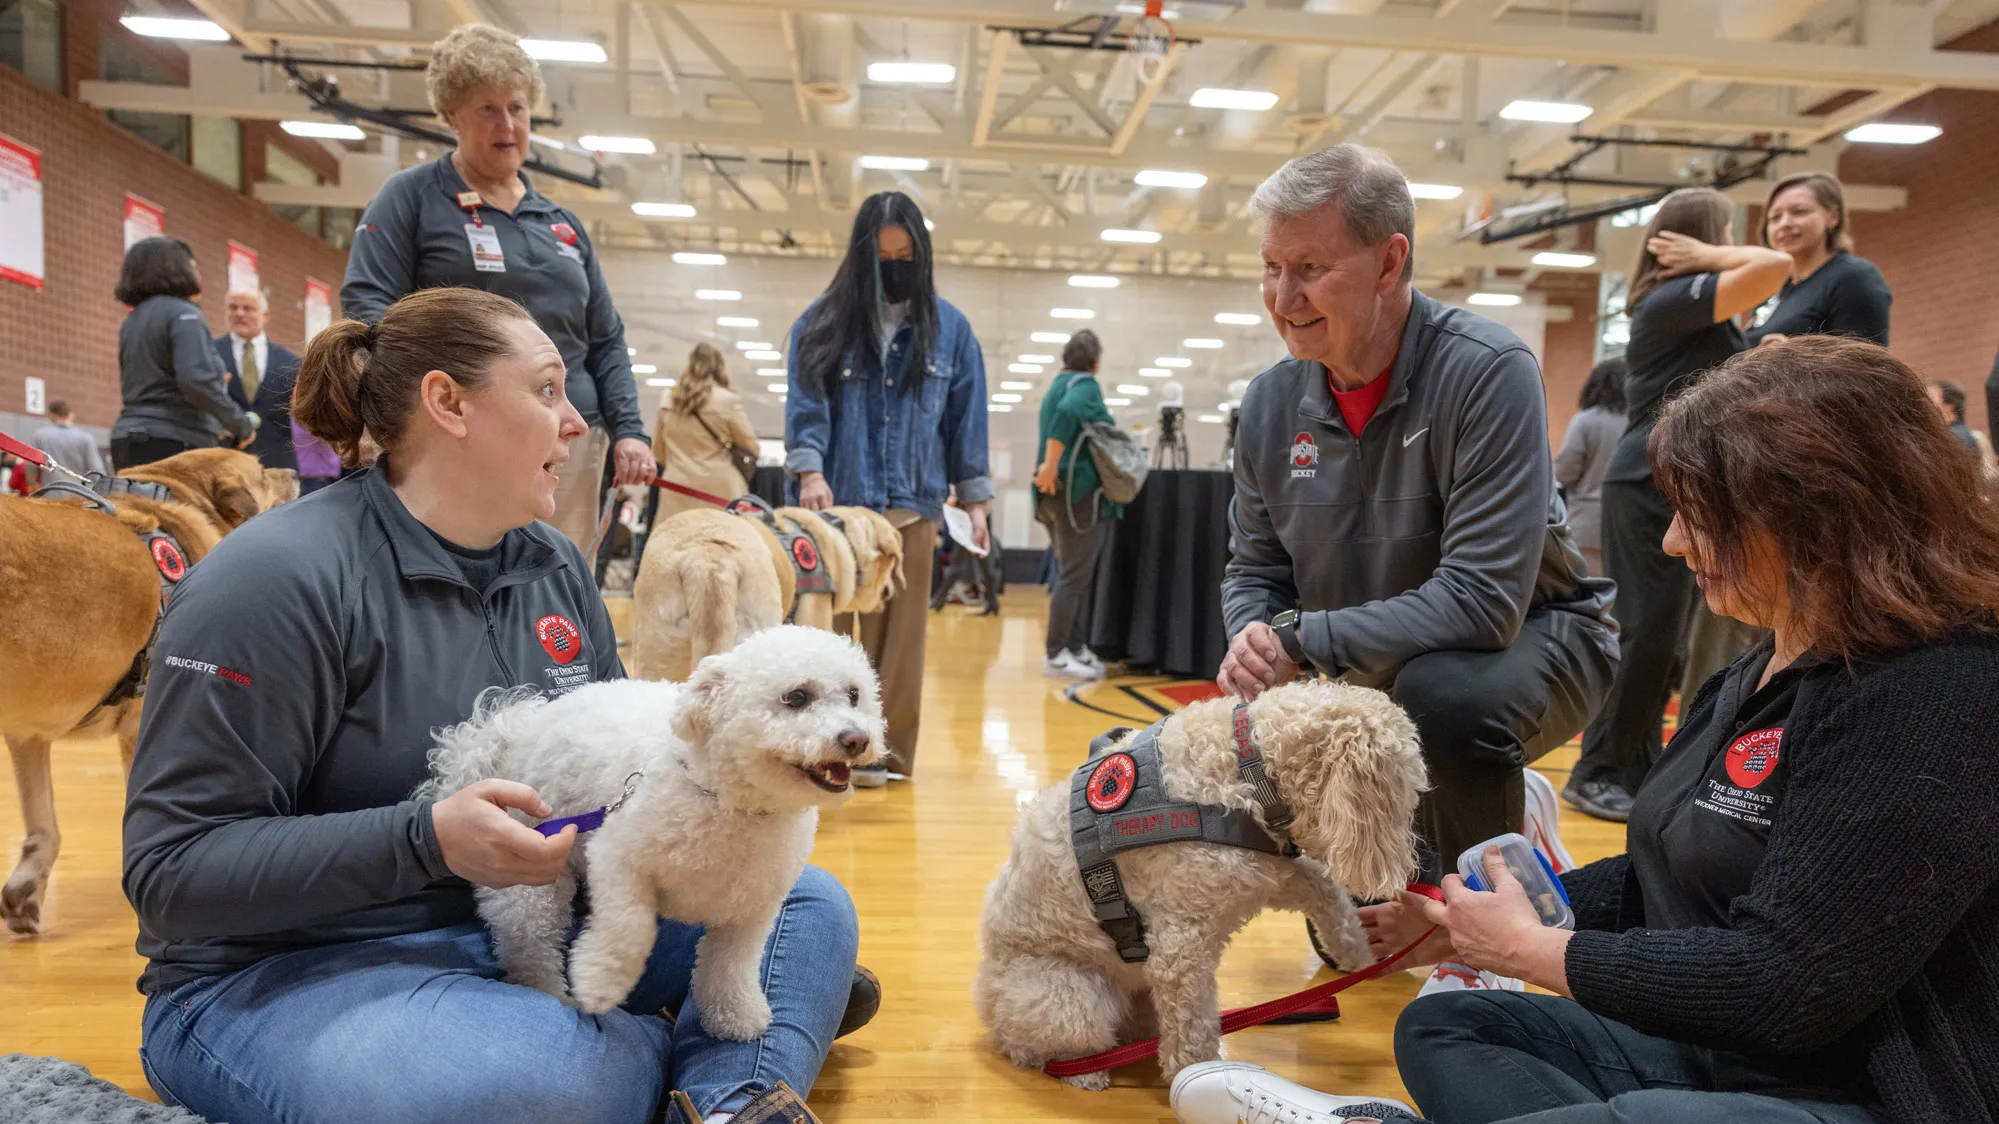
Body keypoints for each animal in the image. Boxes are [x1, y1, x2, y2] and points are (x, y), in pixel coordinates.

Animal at [417, 620, 879, 1032]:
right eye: (797, 697)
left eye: (854, 695)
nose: (856, 739)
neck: (725, 800)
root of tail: (512, 730)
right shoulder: (616, 860)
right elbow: (628, 930)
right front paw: (600, 980)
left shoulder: (751, 909)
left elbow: (731, 965)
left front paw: (735, 1015)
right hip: (529, 878)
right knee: (530, 950)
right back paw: (553, 996)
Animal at [967, 672, 1423, 1088]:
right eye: (1406, 791)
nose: (1410, 867)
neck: (1243, 765)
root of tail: (988, 996)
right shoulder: (1182, 945)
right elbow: (1193, 1029)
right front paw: (1200, 1080)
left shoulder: (1264, 874)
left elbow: (1325, 891)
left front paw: (1356, 950)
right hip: (1067, 995)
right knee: (1034, 1048)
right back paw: (1084, 1070)